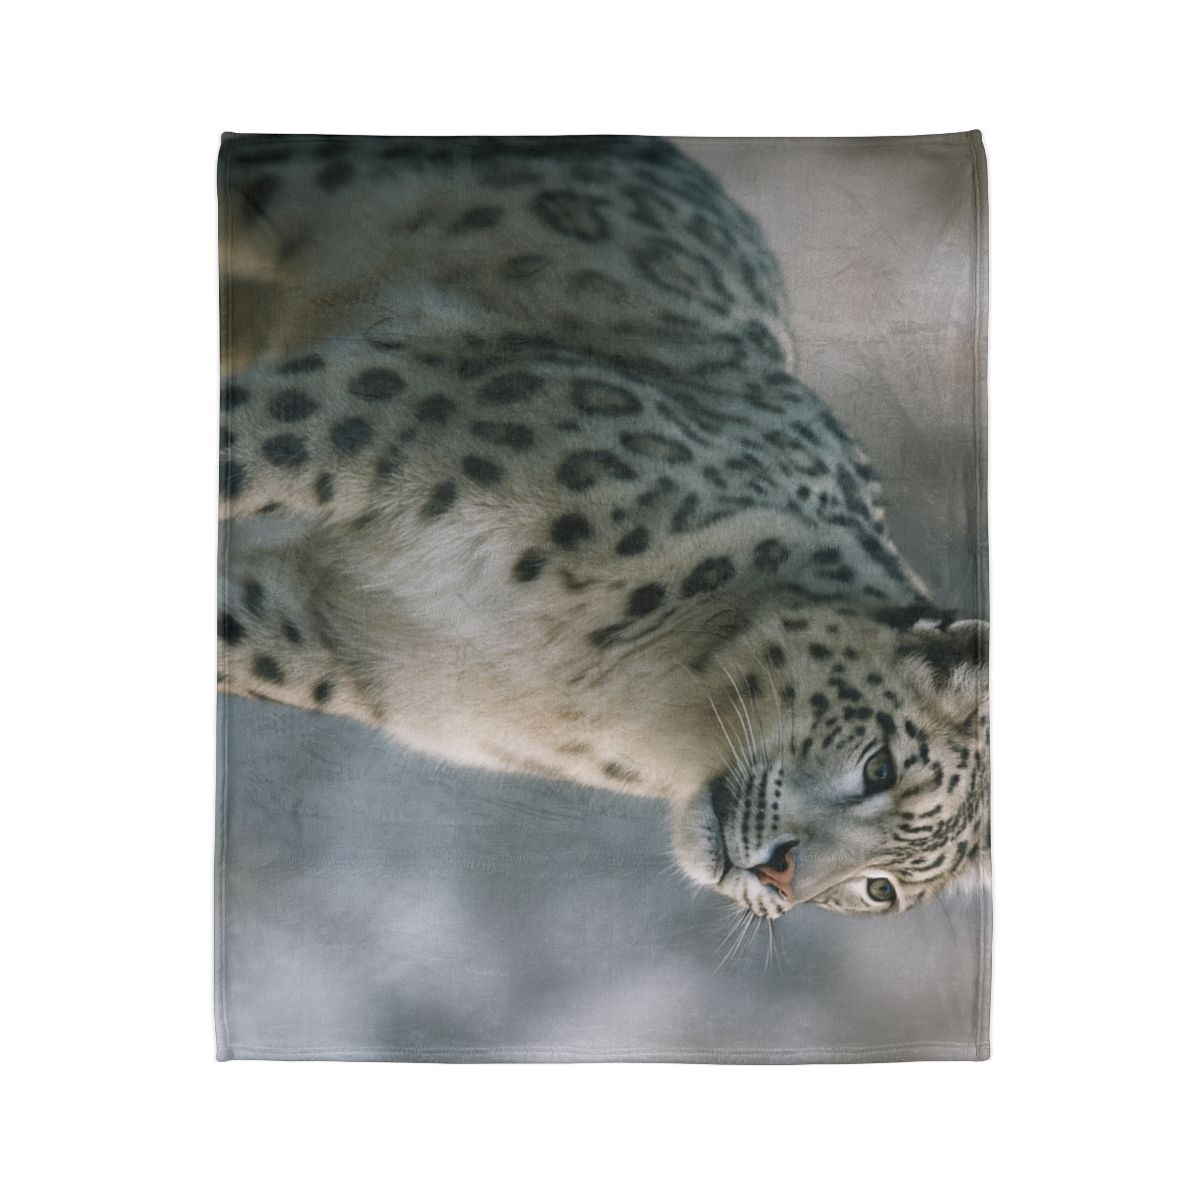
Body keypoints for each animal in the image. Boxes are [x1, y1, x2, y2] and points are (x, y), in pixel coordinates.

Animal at [217, 134, 989, 920]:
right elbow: (238, 449)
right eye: (880, 767)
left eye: (880, 888)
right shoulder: (386, 410)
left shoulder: (340, 640)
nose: (780, 877)